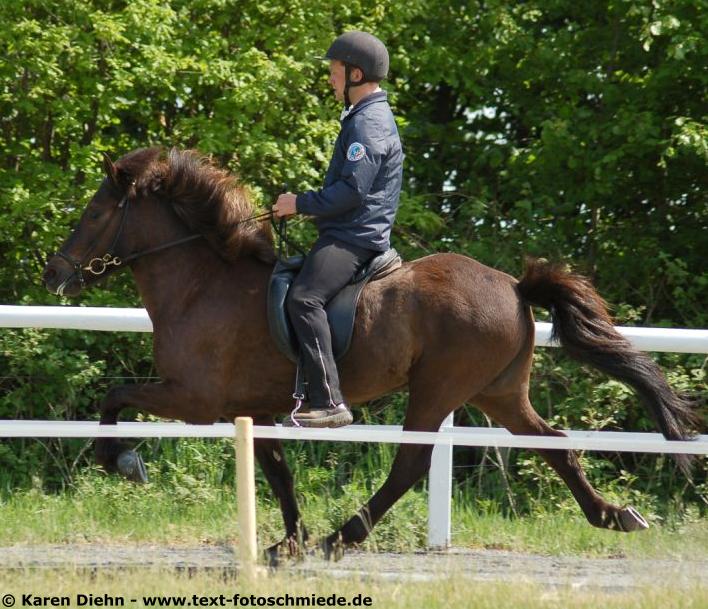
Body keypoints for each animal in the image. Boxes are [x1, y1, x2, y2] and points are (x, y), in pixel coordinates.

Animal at [41, 146, 700, 560]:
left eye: (95, 213)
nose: (54, 274)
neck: (202, 283)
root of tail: (515, 285)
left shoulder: (195, 399)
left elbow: (114, 398)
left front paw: (124, 462)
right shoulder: (253, 408)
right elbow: (277, 470)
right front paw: (288, 542)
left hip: (438, 389)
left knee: (410, 464)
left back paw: (344, 536)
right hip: (498, 392)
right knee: (554, 444)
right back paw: (613, 515)